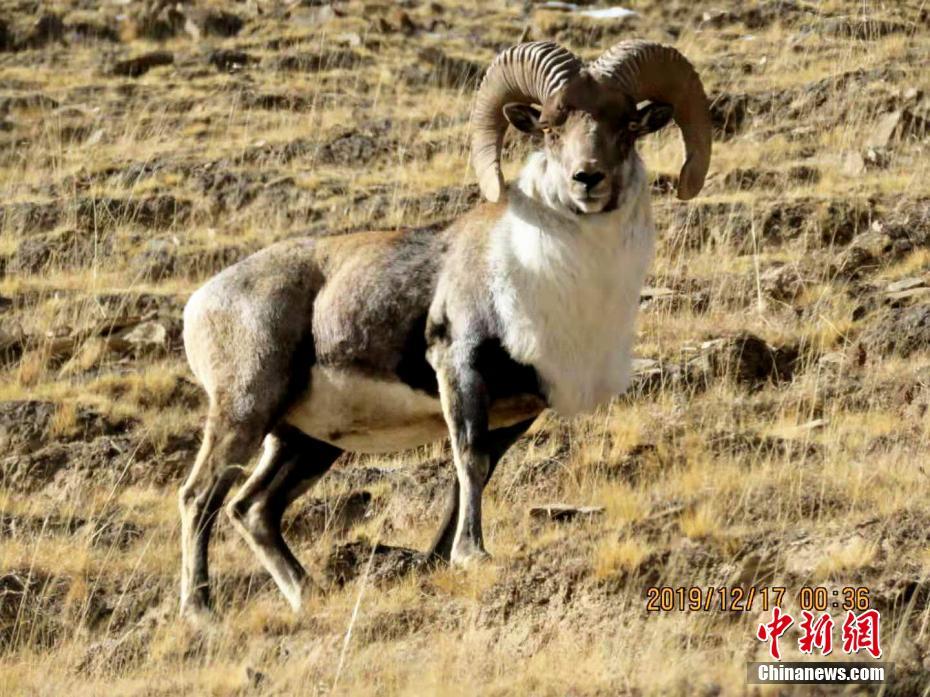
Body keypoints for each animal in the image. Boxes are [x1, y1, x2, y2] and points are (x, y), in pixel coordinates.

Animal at [178, 39, 711, 617]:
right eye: (550, 127)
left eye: (628, 125)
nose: (587, 180)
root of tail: (200, 303)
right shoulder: (459, 368)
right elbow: (469, 461)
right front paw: (471, 555)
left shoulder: (515, 413)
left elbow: (472, 476)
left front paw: (436, 559)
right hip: (245, 411)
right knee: (200, 497)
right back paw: (201, 612)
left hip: (303, 442)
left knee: (253, 508)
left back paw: (307, 594)